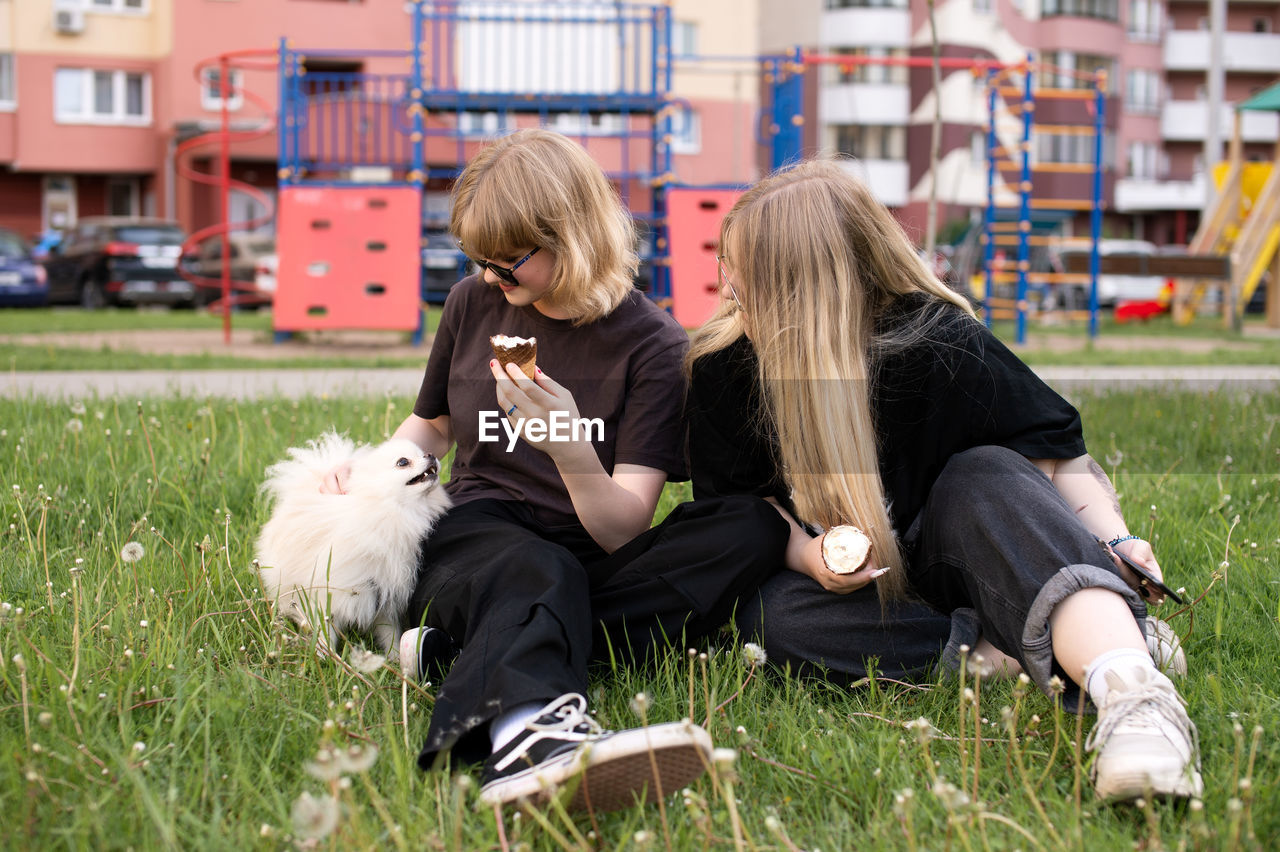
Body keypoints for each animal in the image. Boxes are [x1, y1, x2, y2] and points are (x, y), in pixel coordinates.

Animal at [254, 432, 450, 654]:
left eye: (422, 452)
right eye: (403, 462)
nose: (430, 454)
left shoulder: (384, 591)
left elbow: (389, 631)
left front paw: (394, 657)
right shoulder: (331, 593)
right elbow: (326, 632)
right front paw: (326, 657)